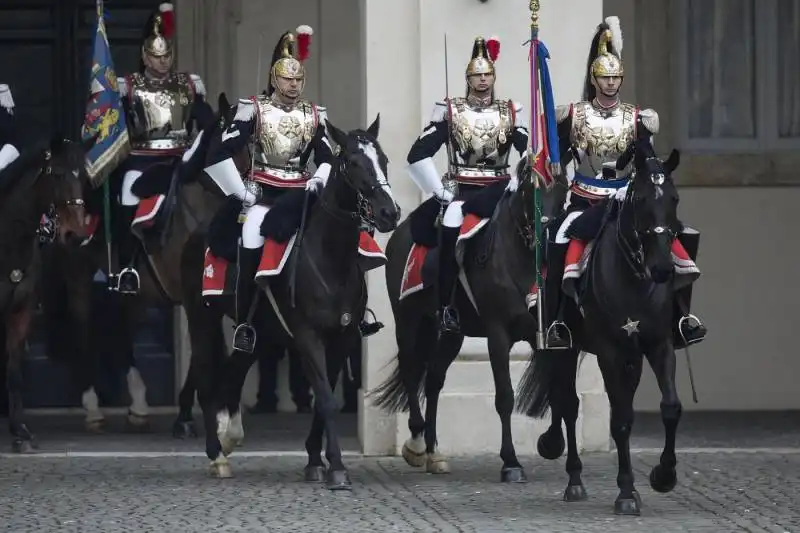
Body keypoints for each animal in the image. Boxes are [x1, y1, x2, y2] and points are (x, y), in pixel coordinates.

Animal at [0, 135, 94, 450]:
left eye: (84, 177)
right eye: (58, 174)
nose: (75, 235)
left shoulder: (20, 313)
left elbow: (14, 373)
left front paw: (20, 432)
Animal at [199, 114, 400, 488]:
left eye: (384, 159)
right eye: (352, 162)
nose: (389, 213)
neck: (331, 259)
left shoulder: (342, 336)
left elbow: (325, 398)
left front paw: (315, 460)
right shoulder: (308, 336)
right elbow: (325, 398)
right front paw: (336, 467)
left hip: (259, 333)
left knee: (234, 371)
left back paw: (227, 438)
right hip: (202, 314)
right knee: (207, 377)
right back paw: (215, 452)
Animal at [370, 157, 568, 478]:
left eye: (564, 190)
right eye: (532, 190)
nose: (547, 238)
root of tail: (401, 231)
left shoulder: (541, 333)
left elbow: (554, 386)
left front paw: (551, 443)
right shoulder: (497, 335)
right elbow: (505, 397)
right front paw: (511, 461)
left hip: (452, 331)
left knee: (434, 379)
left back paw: (434, 452)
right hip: (408, 319)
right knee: (411, 369)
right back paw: (416, 442)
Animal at [520, 137, 688, 516]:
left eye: (673, 198)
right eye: (640, 199)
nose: (661, 269)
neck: (634, 276)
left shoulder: (656, 346)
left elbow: (670, 407)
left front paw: (664, 476)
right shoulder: (610, 353)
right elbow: (621, 420)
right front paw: (626, 492)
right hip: (565, 346)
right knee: (568, 404)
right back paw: (574, 479)